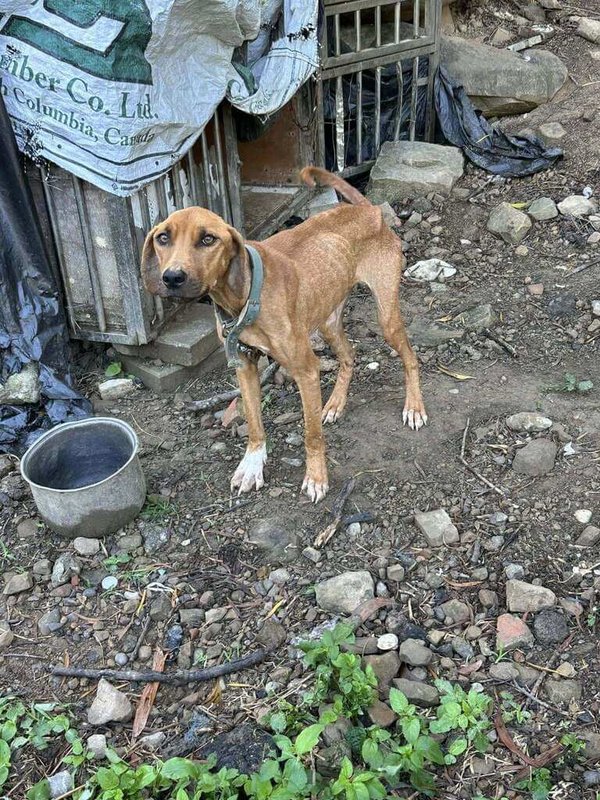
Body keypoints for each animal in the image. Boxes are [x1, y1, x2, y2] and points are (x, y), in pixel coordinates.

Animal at [142, 166, 426, 504]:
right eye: (163, 237)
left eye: (208, 239)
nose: (172, 277)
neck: (245, 297)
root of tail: (369, 211)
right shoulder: (244, 366)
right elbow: (254, 424)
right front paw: (252, 467)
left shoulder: (306, 370)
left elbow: (311, 434)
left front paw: (316, 478)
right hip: (328, 321)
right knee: (349, 356)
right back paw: (335, 404)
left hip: (386, 318)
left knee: (410, 356)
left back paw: (414, 407)